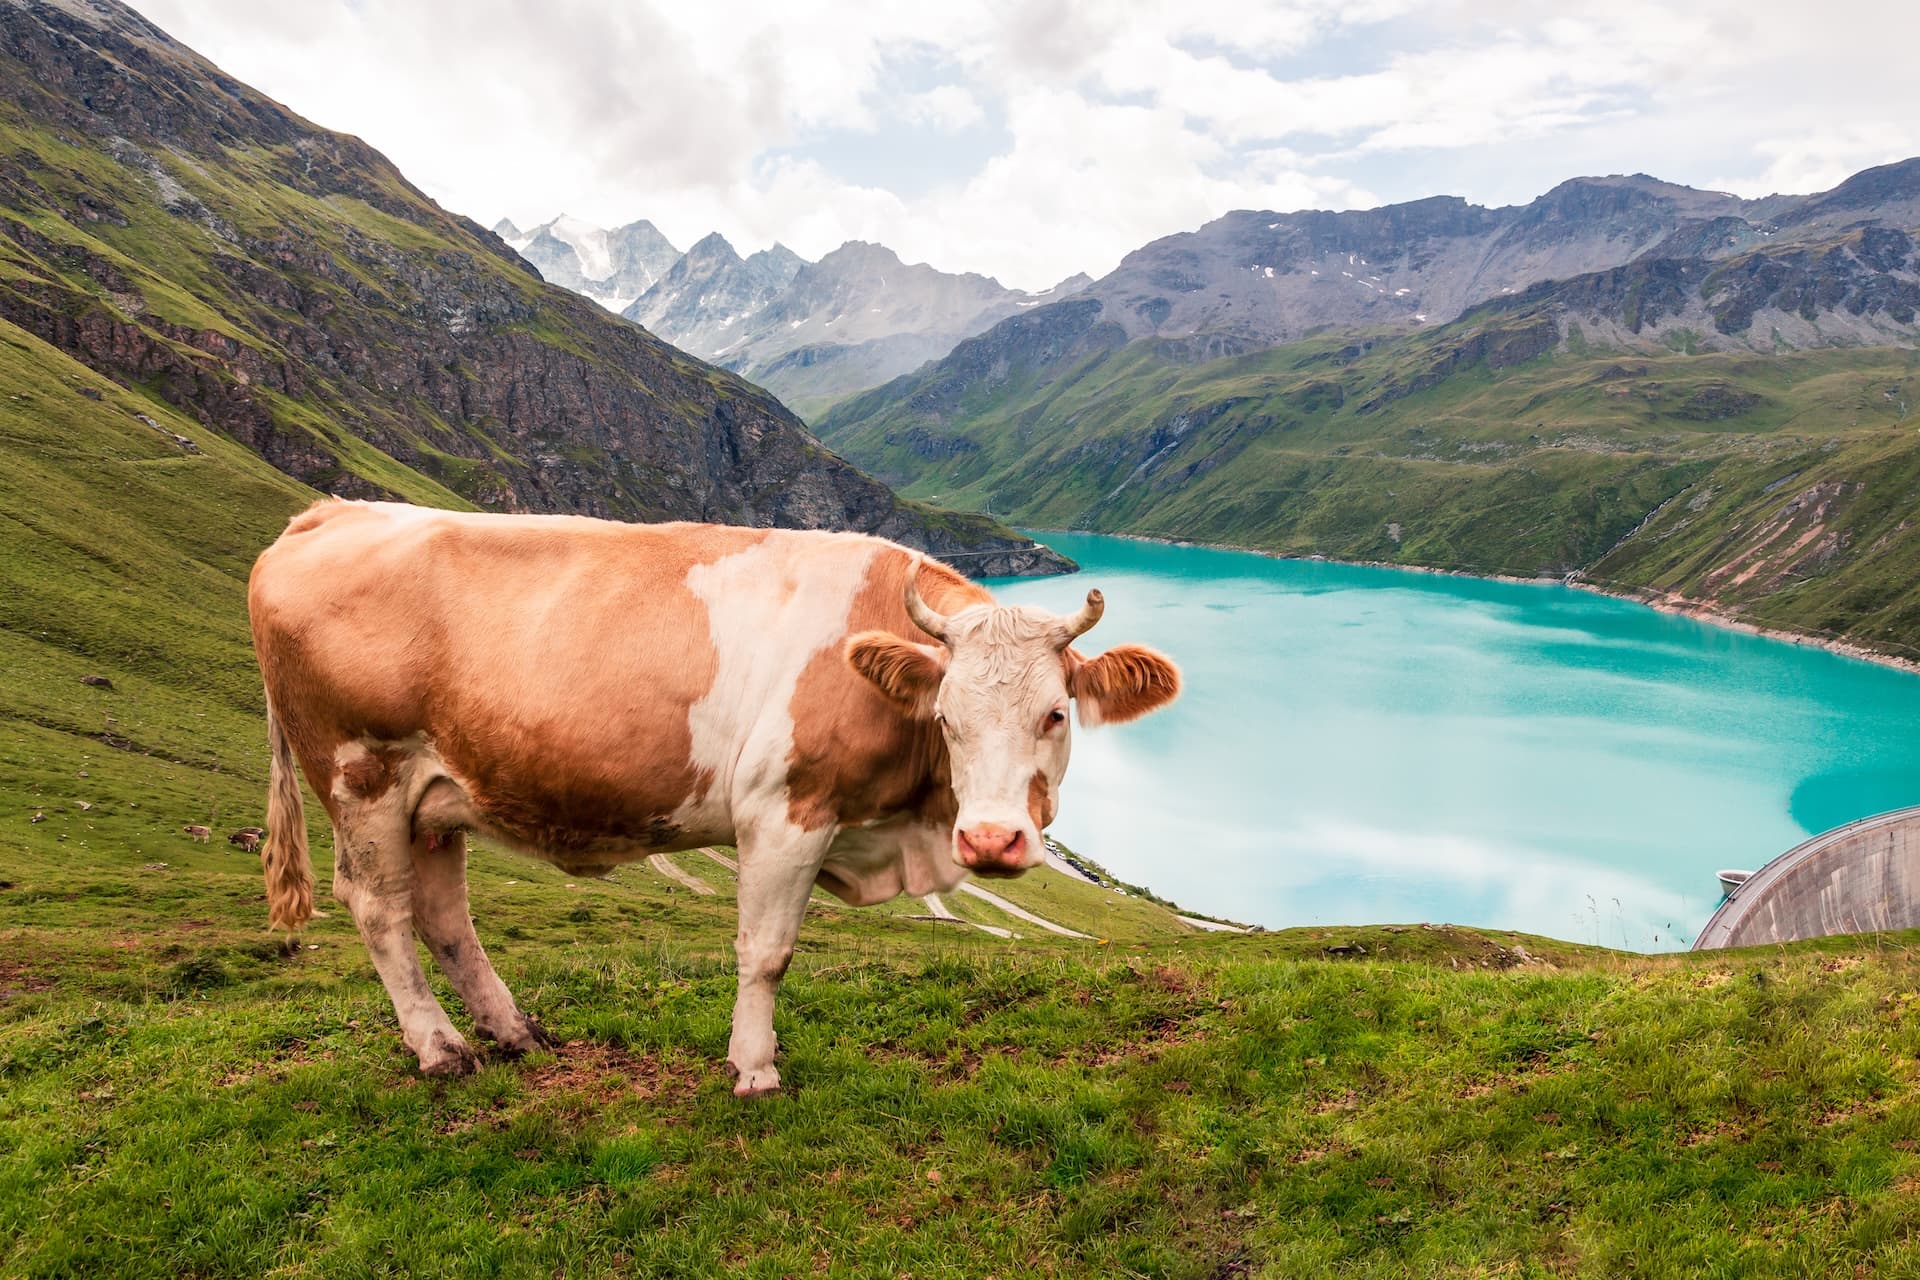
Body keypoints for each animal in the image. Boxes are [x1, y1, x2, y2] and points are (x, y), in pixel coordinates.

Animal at [248, 500, 1180, 1092]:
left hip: (438, 795)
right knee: (380, 908)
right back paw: (440, 1048)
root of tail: (328, 512)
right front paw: (754, 1067)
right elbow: (766, 952)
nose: (990, 841)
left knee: (444, 913)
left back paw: (514, 1032)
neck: (905, 833)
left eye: (1055, 713)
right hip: (361, 774)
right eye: (946, 718)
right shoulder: (783, 811)